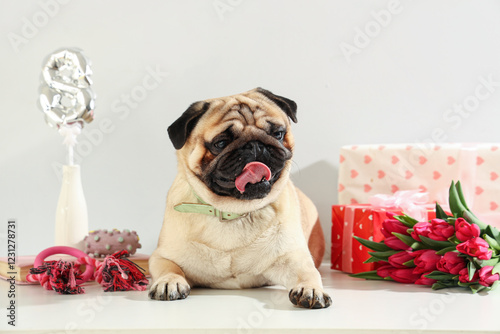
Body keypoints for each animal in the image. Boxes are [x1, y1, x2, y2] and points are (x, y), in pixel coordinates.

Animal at [148, 88, 332, 308]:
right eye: (221, 143)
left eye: (277, 134)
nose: (255, 145)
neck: (234, 211)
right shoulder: (162, 256)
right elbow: (169, 268)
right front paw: (169, 282)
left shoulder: (293, 258)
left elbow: (308, 273)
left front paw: (311, 289)